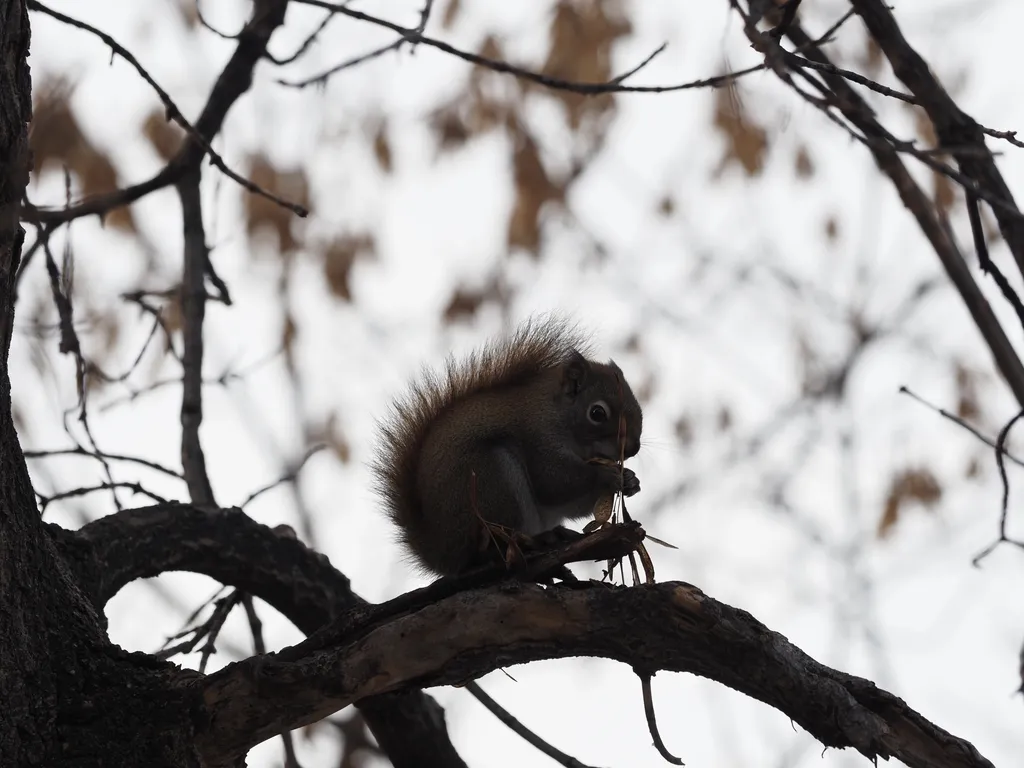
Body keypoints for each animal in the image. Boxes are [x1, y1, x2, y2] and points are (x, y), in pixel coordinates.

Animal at [372, 319, 634, 577]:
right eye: (597, 413)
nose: (632, 449)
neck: (558, 412)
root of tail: (446, 554)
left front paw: (631, 480)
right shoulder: (538, 436)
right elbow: (553, 482)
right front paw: (606, 476)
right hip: (493, 482)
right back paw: (538, 540)